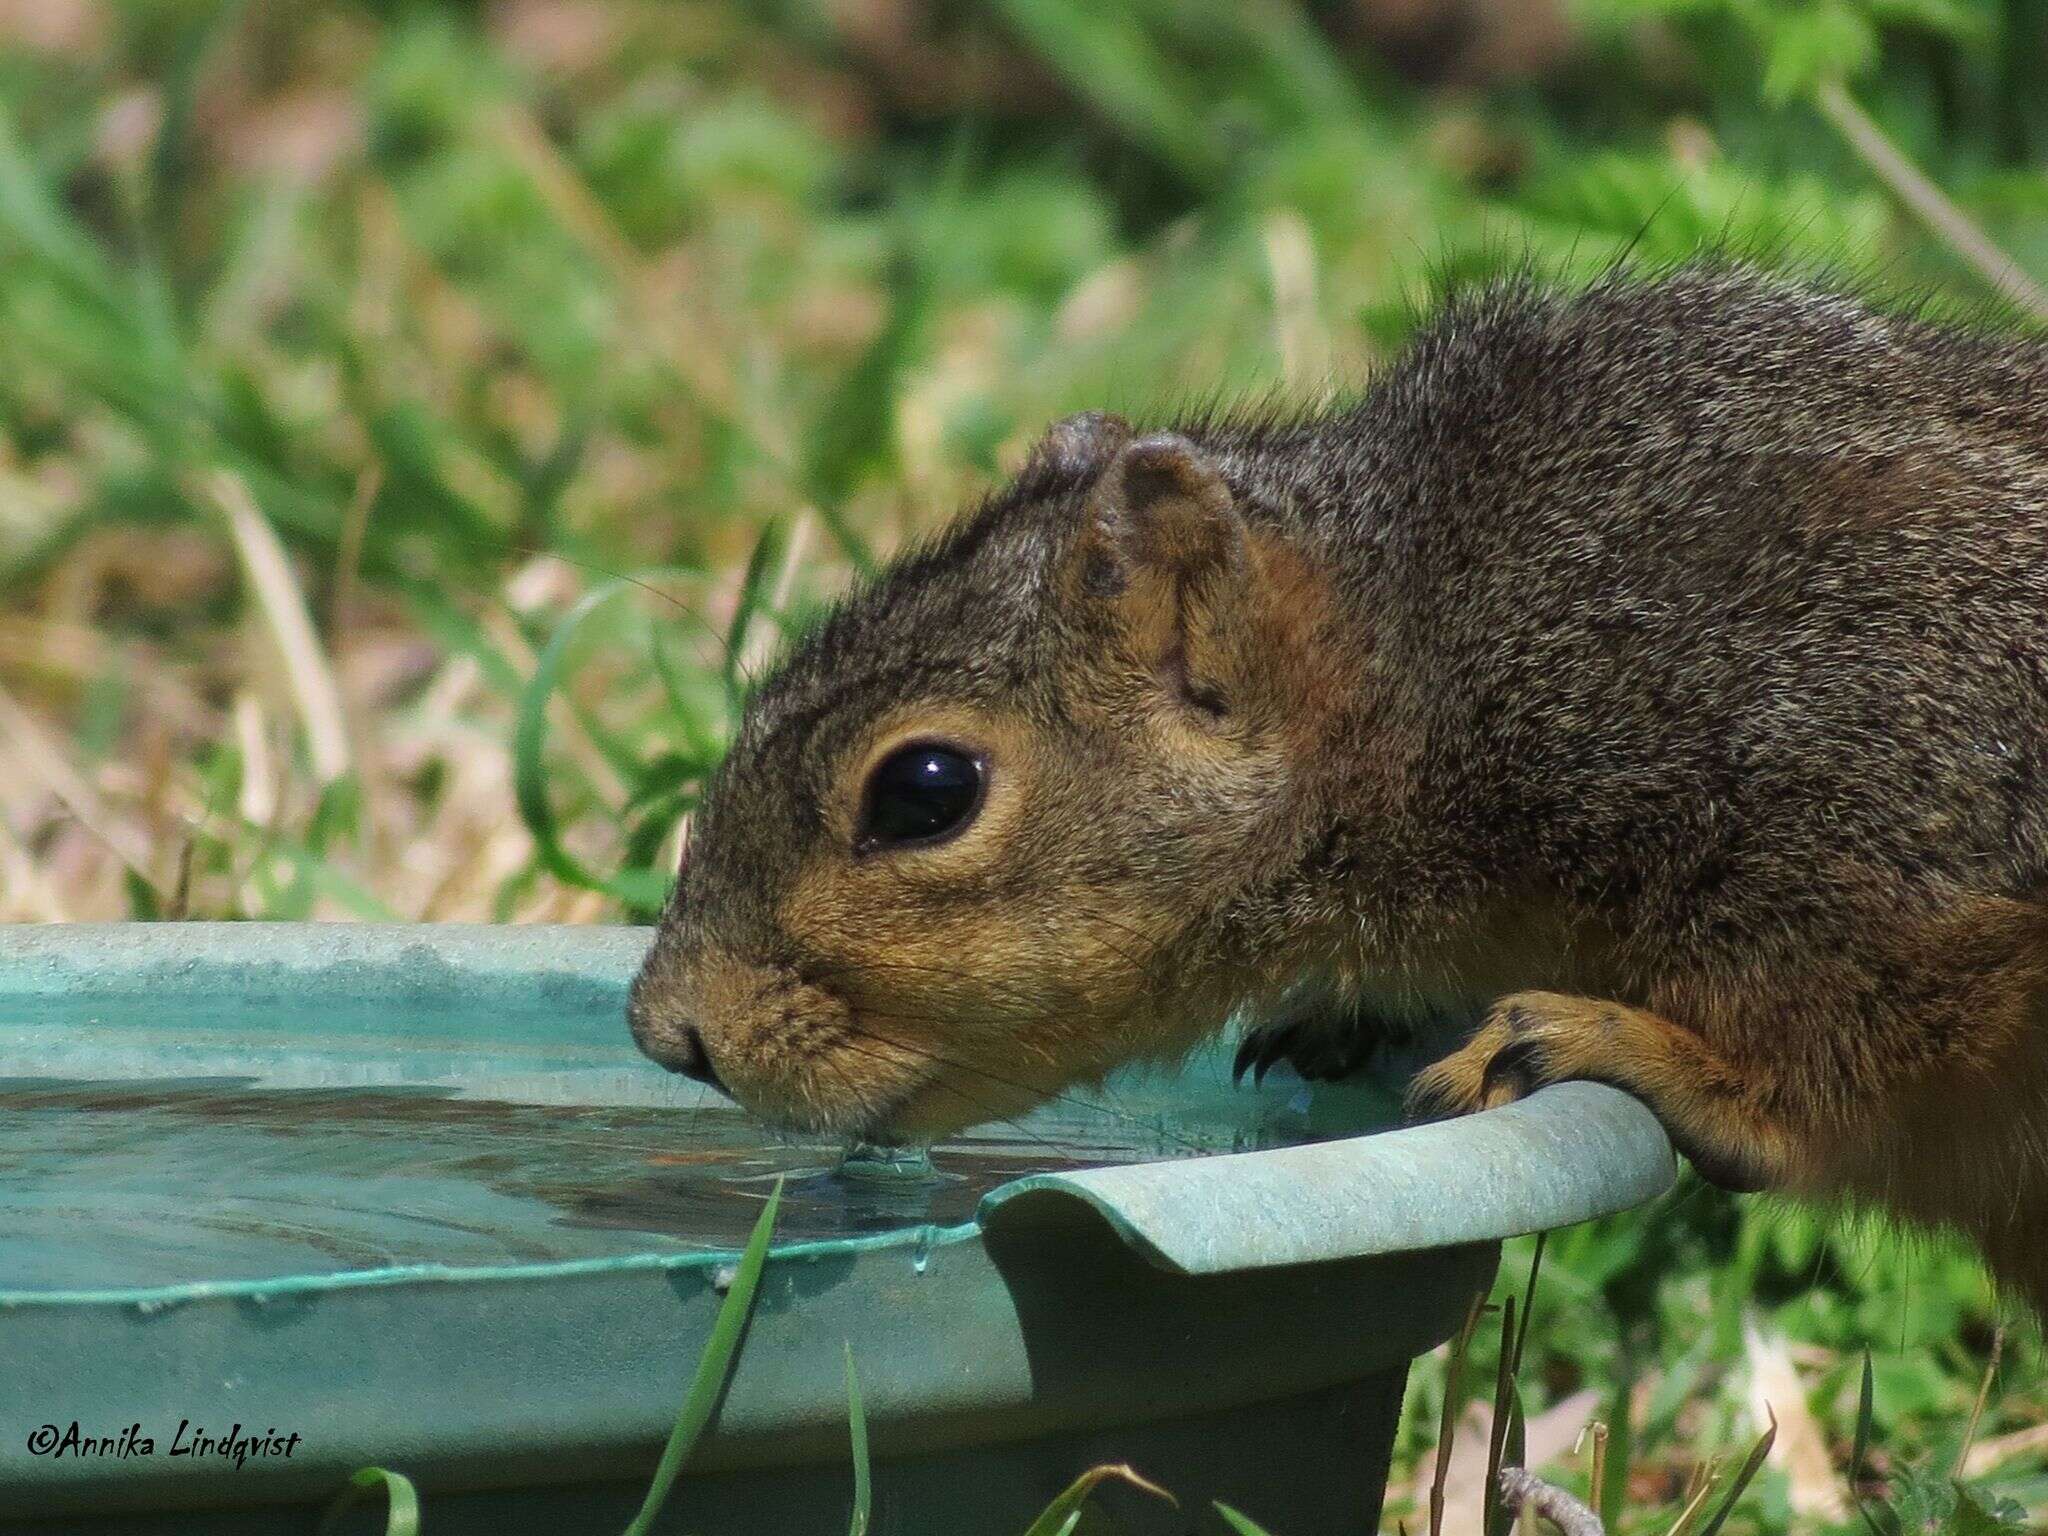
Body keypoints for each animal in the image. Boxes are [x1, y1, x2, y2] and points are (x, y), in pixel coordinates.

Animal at [622, 264, 2048, 1327]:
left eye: (925, 791)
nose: (667, 1033)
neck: (1443, 654)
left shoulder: (1871, 793)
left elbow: (1836, 1051)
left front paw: (1653, 1056)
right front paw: (1355, 1011)